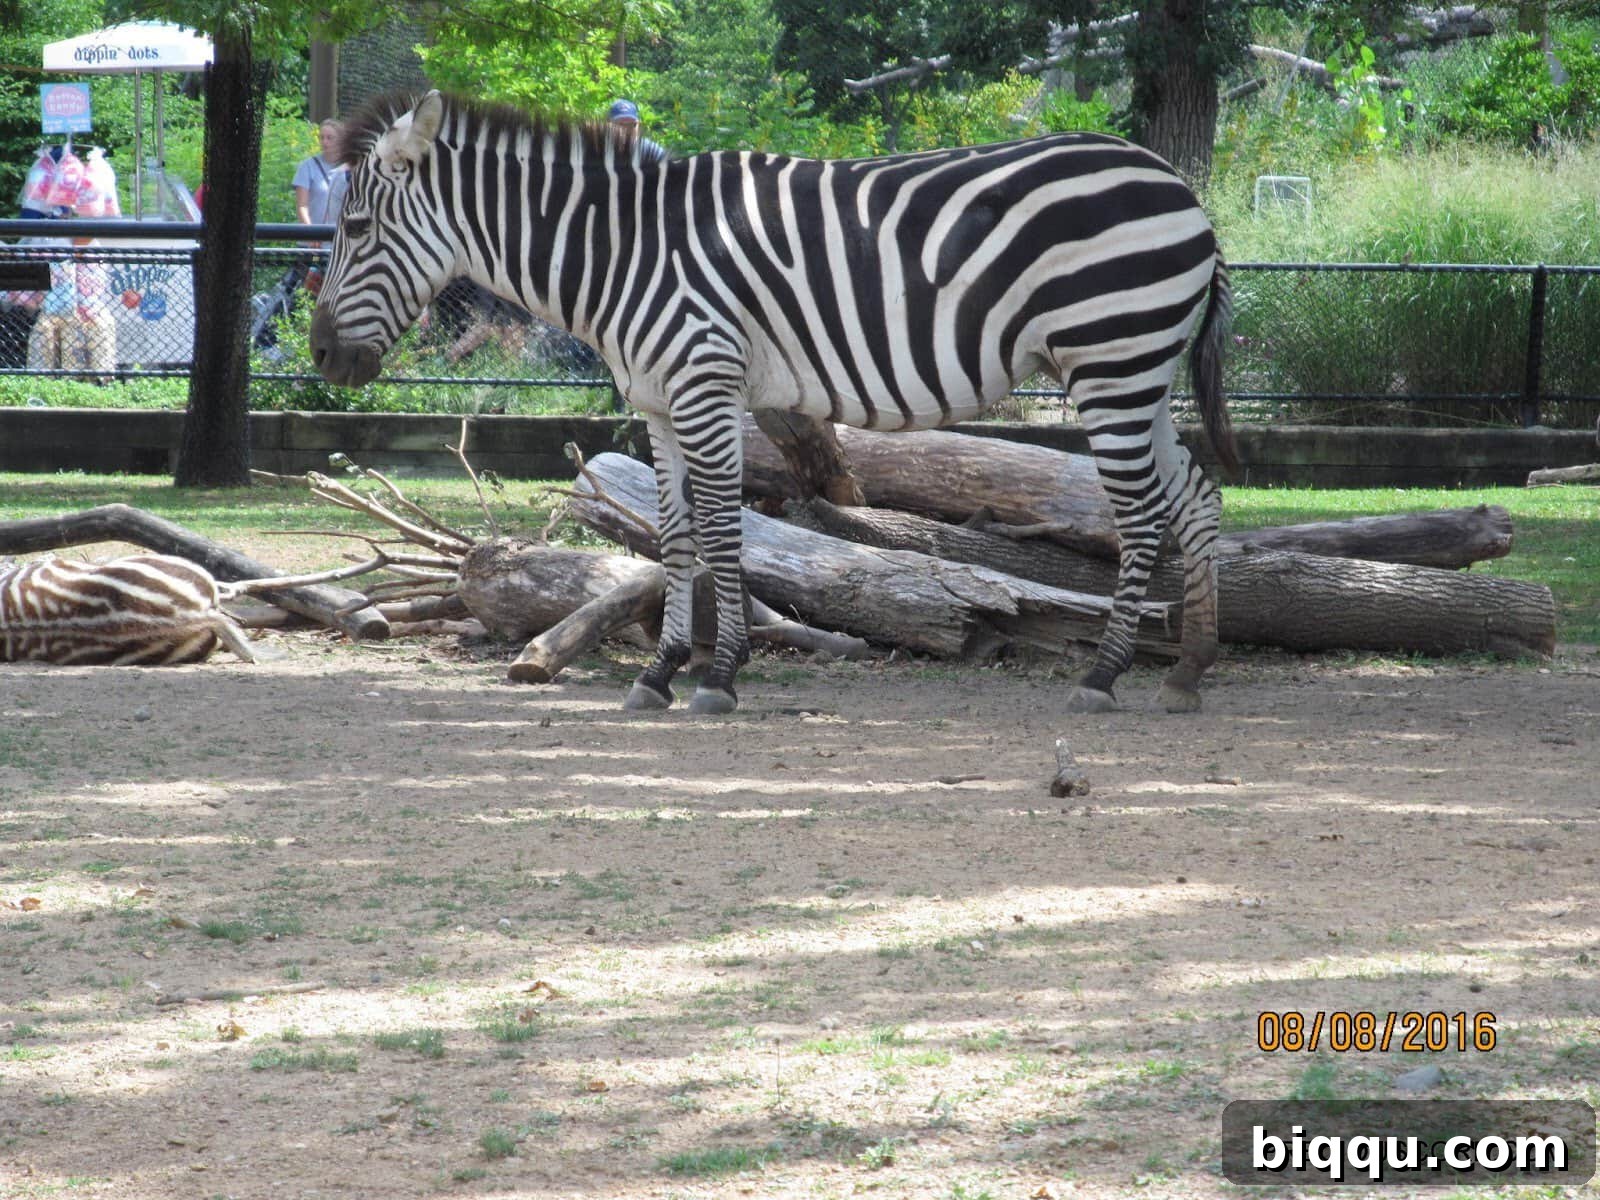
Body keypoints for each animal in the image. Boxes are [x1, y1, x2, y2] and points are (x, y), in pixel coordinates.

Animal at [311, 91, 1237, 716]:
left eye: (354, 230)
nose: (319, 354)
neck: (622, 252)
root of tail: (1182, 189)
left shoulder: (705, 383)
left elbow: (725, 530)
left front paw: (719, 675)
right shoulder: (657, 403)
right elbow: (674, 536)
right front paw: (660, 674)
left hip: (1110, 360)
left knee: (1143, 513)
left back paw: (1105, 675)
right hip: (1138, 367)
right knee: (1197, 495)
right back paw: (1188, 670)